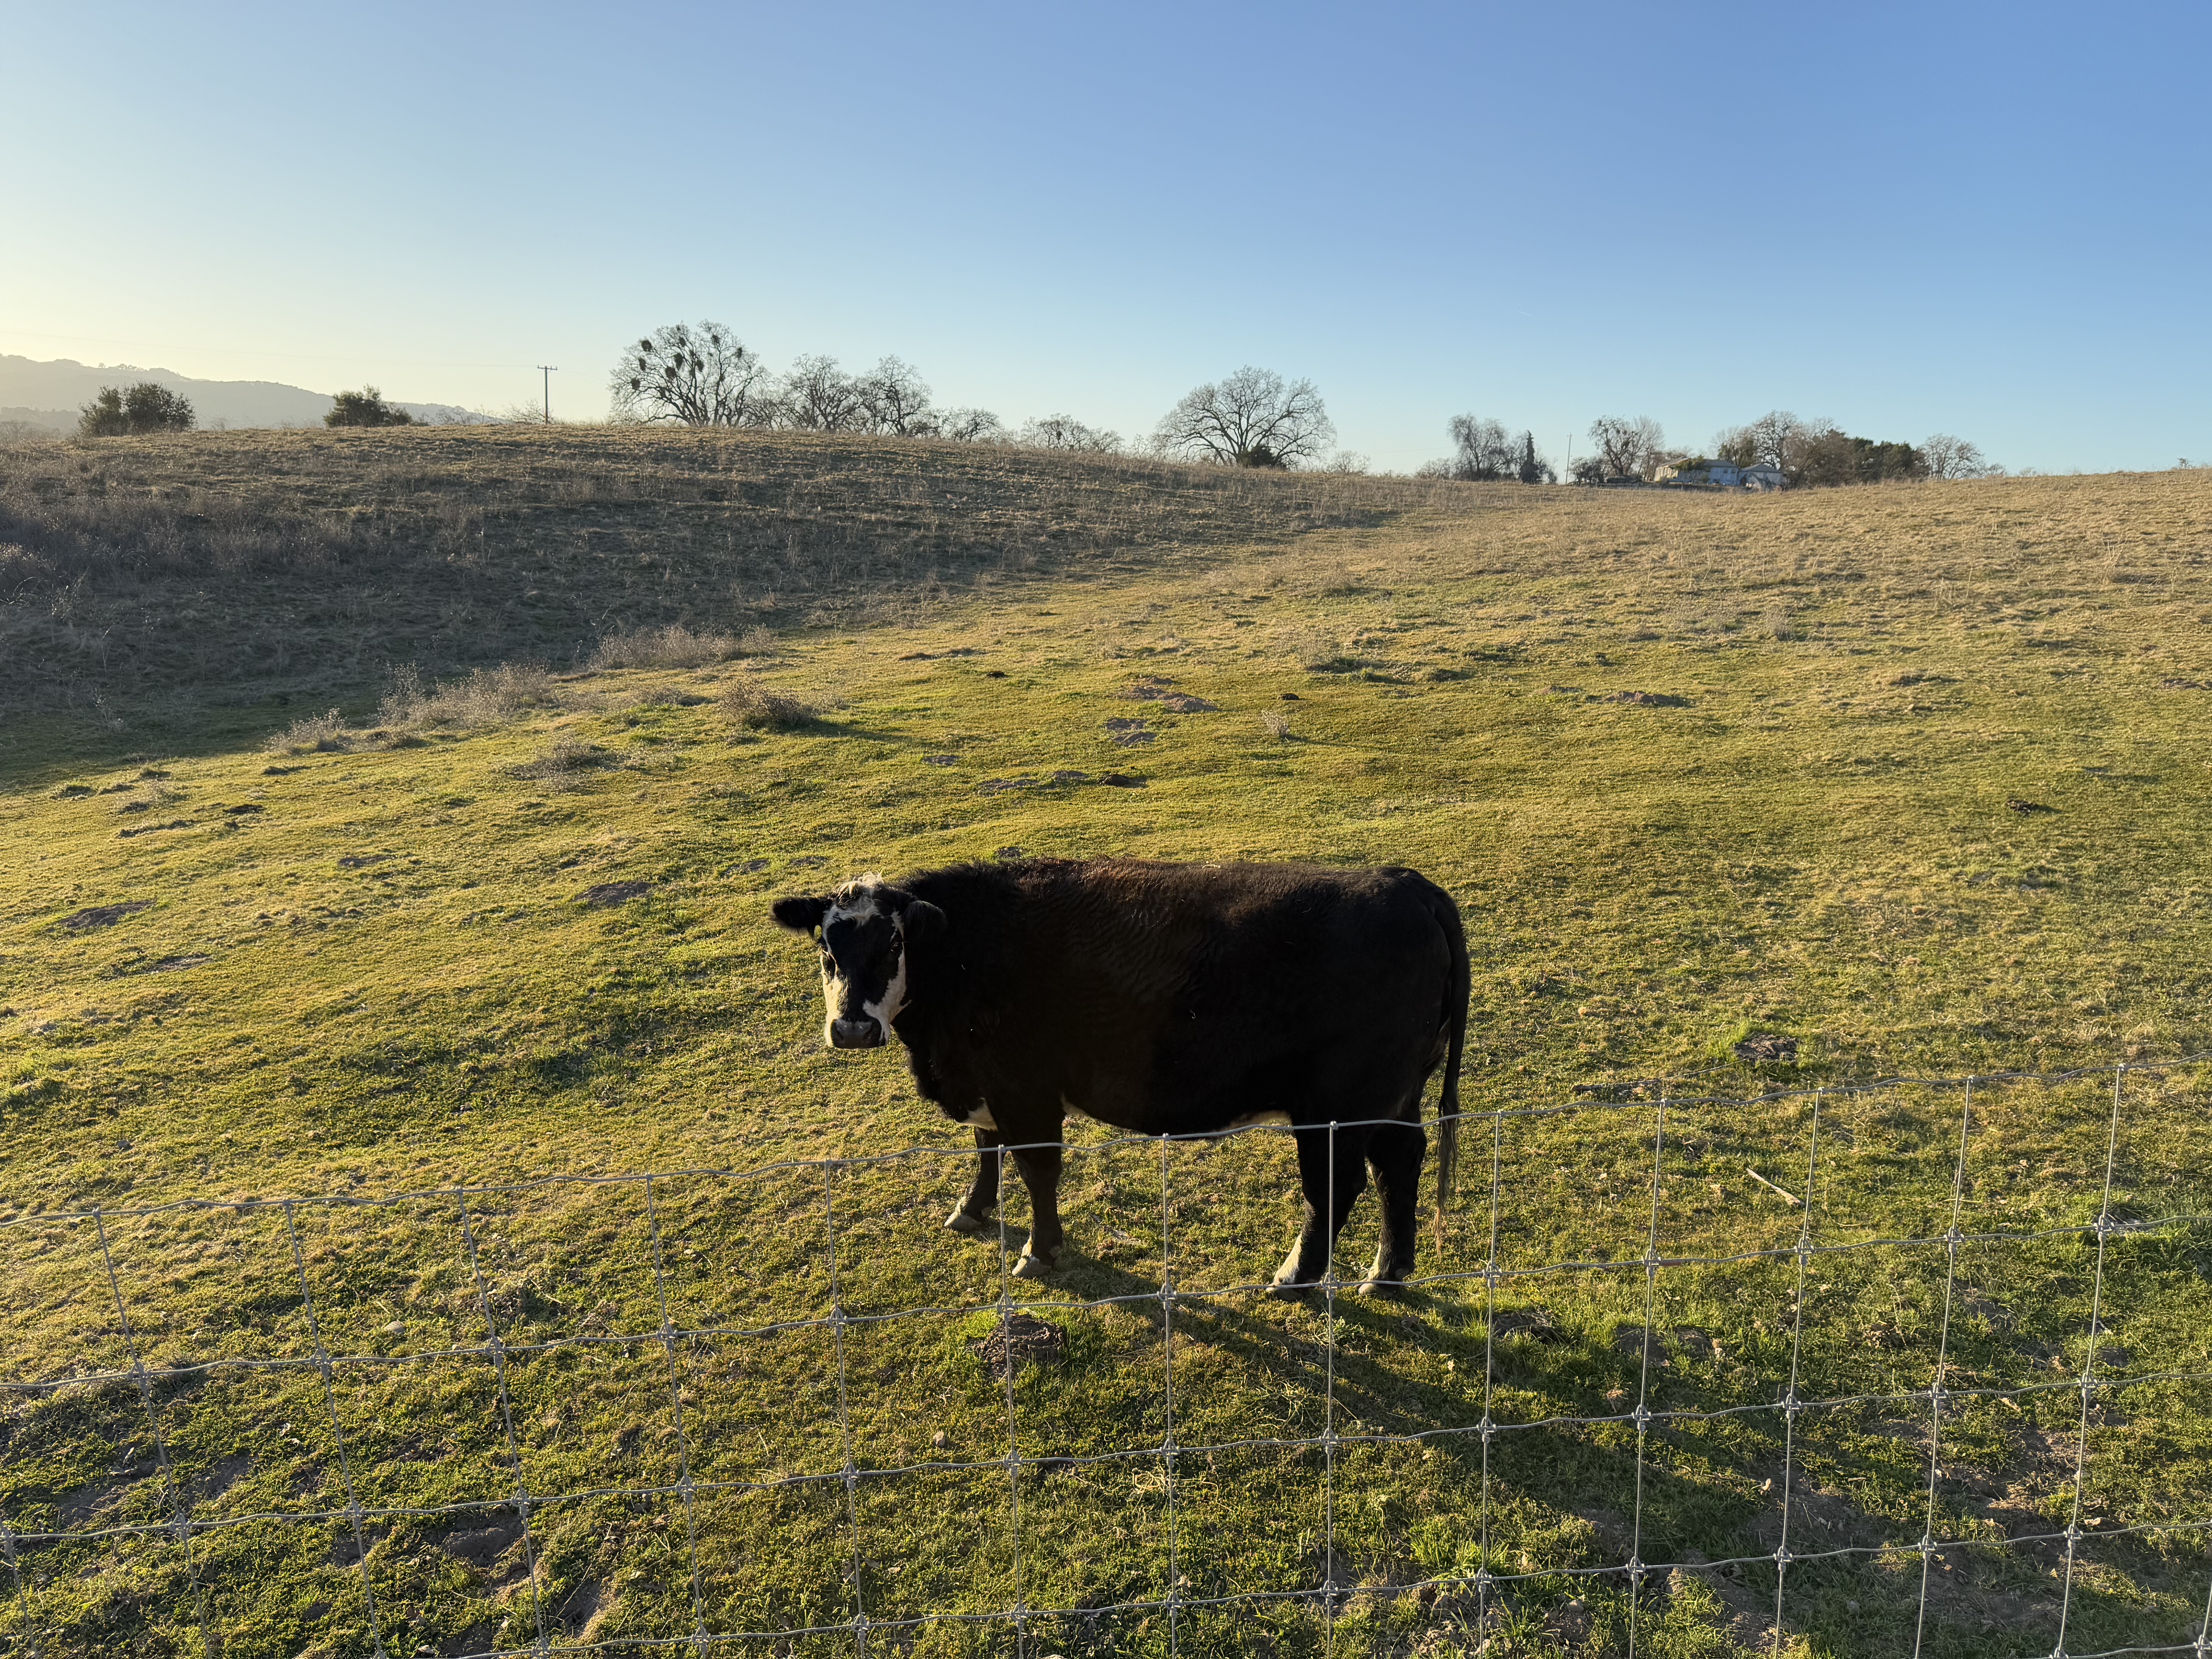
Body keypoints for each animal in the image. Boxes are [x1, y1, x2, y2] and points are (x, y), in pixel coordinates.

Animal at [778, 858, 1468, 1300]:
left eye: (893, 945)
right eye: (826, 948)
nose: (852, 1028)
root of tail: (1404, 884)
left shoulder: (1026, 1090)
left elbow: (1036, 1168)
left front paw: (1040, 1251)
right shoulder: (987, 1085)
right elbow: (985, 1150)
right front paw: (972, 1210)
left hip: (1338, 1109)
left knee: (1338, 1186)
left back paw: (1295, 1278)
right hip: (1397, 1097)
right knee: (1400, 1163)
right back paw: (1389, 1272)